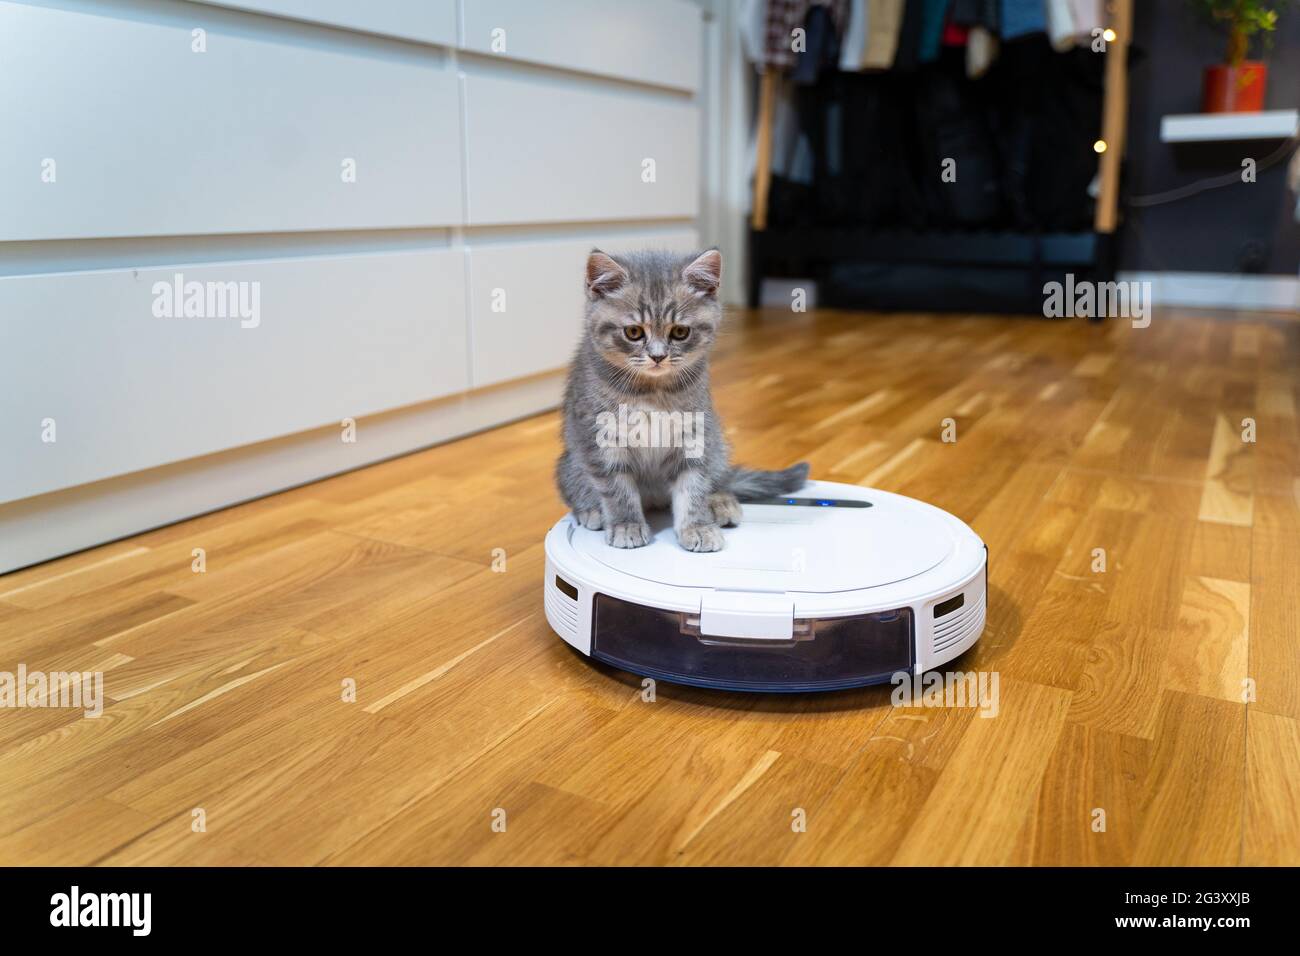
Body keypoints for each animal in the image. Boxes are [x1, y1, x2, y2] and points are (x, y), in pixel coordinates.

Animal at [553, 248, 806, 554]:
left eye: (680, 332)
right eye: (634, 332)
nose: (658, 356)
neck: (652, 392)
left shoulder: (696, 431)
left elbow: (694, 483)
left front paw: (697, 526)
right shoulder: (599, 437)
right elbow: (616, 487)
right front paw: (626, 525)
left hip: (718, 443)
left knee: (718, 476)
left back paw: (720, 501)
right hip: (571, 462)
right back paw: (591, 510)